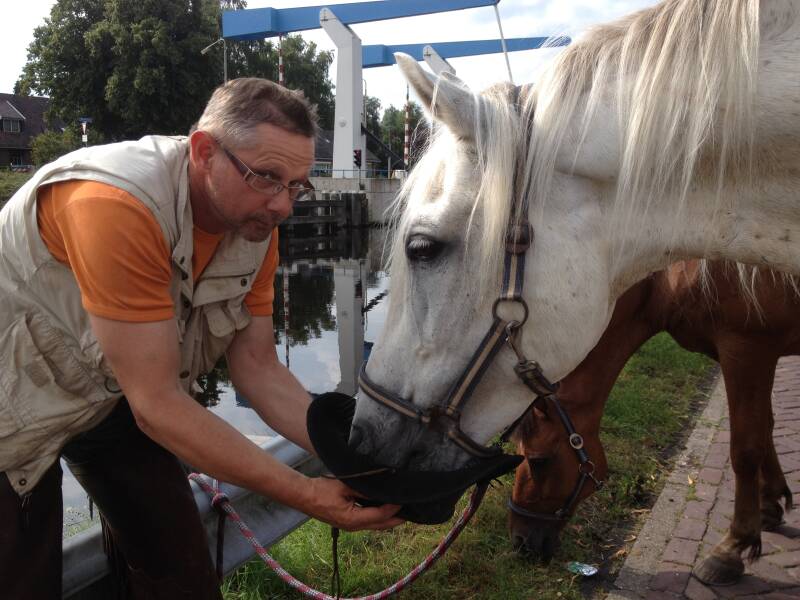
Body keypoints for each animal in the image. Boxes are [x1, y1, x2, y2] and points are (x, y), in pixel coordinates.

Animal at [508, 259, 798, 585]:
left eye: (538, 460)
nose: (519, 541)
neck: (675, 277)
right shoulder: (746, 358)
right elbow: (765, 428)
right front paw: (769, 504)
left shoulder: (746, 350)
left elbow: (746, 450)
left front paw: (733, 547)